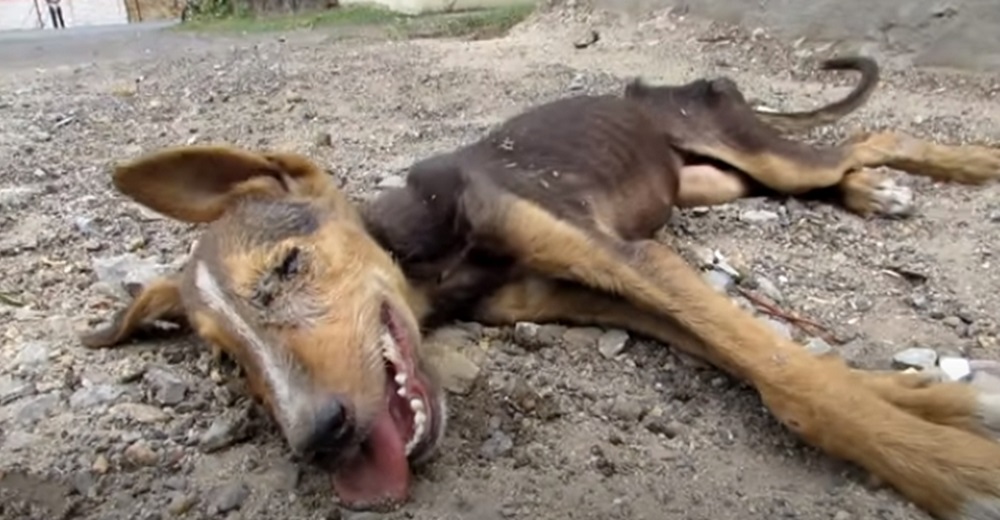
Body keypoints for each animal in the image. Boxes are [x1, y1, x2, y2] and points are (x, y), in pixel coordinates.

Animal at [80, 57, 1000, 520]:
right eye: (228, 362)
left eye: (287, 267)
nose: (320, 441)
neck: (428, 255)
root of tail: (650, 87)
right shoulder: (599, 288)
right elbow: (766, 357)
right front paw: (935, 402)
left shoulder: (625, 255)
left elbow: (792, 379)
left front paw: (944, 466)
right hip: (712, 183)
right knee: (834, 167)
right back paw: (872, 192)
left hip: (753, 151)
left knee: (869, 135)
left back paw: (961, 164)